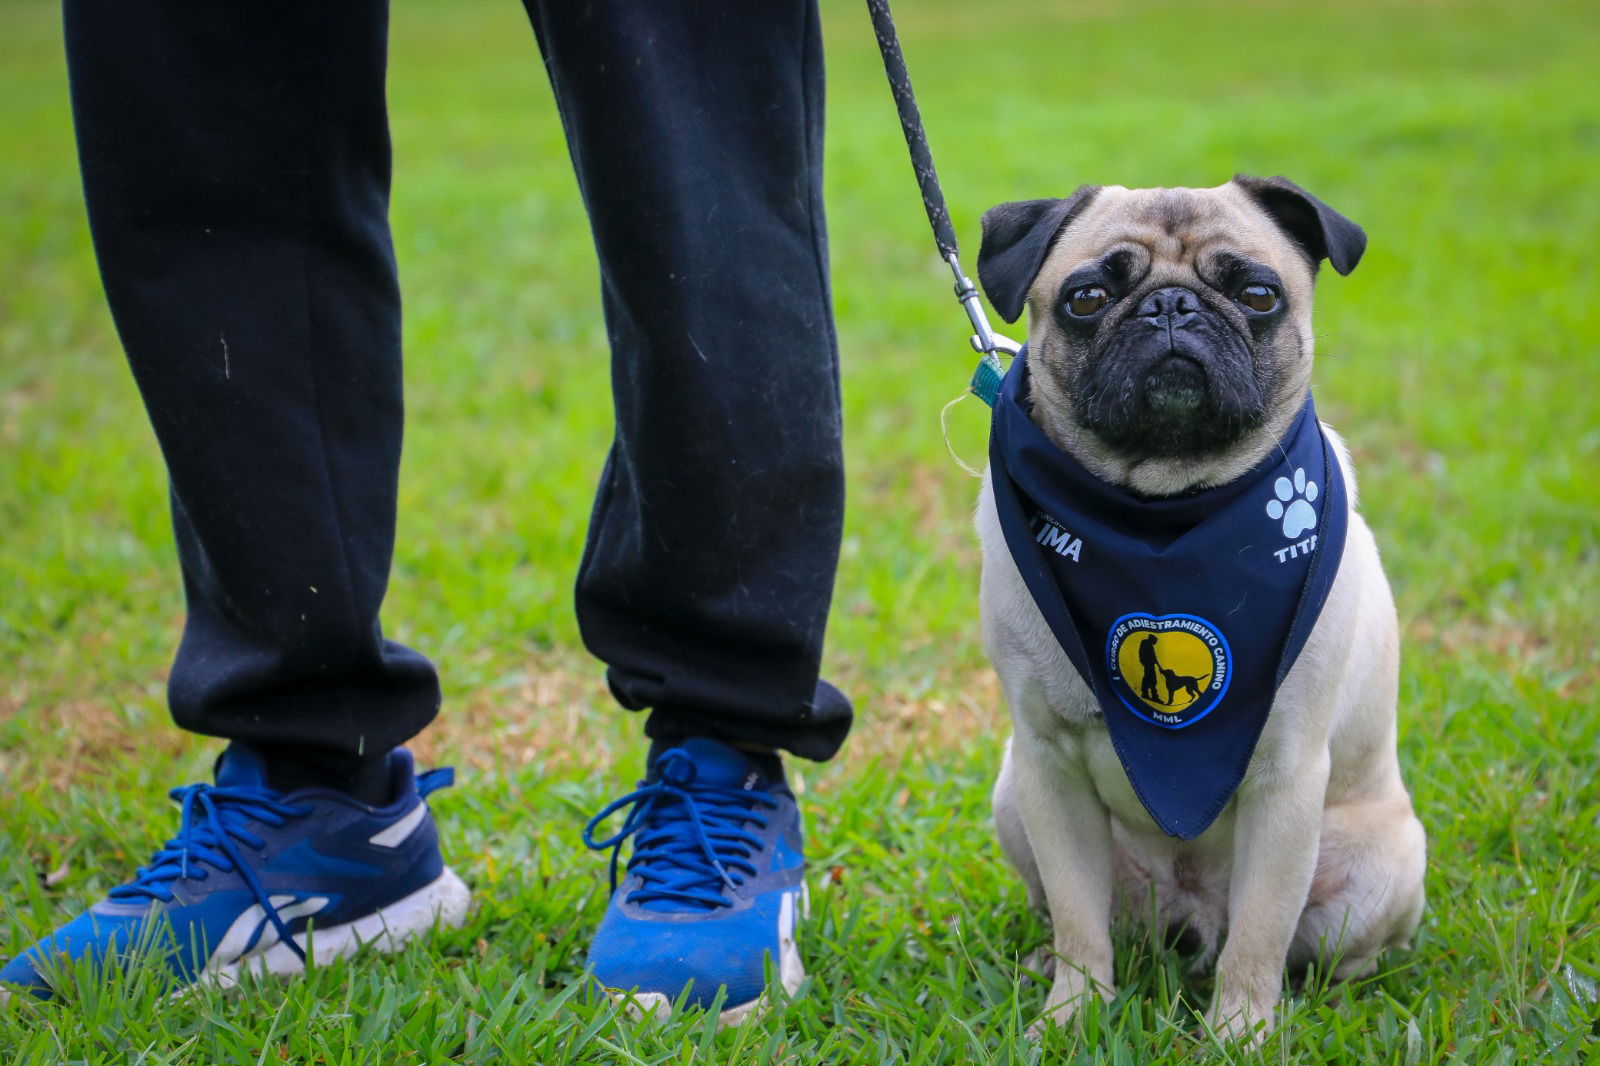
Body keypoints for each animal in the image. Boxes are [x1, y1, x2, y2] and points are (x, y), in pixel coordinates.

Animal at [972, 178, 1427, 1043]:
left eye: (1257, 295)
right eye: (1087, 299)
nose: (1172, 305)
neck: (1162, 512)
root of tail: (1189, 915)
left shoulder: (1286, 780)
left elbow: (1259, 932)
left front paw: (1240, 1033)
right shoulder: (1048, 767)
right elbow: (1079, 917)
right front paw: (1073, 1015)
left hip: (1384, 867)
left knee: (1310, 946)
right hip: (1014, 799)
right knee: (1082, 915)